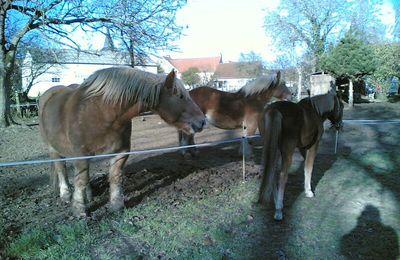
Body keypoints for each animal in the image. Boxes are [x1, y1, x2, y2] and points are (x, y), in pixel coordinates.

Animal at [39, 66, 205, 215]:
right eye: (181, 96)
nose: (202, 121)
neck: (101, 113)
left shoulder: (121, 152)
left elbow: (115, 177)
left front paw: (116, 206)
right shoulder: (80, 155)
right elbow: (80, 180)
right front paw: (79, 210)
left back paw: (89, 195)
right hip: (53, 149)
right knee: (61, 169)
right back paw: (66, 194)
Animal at [260, 91, 344, 219]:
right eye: (341, 107)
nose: (340, 125)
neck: (316, 111)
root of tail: (274, 110)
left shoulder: (302, 148)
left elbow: (306, 167)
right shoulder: (313, 146)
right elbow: (309, 168)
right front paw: (309, 191)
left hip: (271, 148)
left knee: (271, 172)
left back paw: (275, 202)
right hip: (287, 151)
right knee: (283, 175)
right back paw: (279, 210)